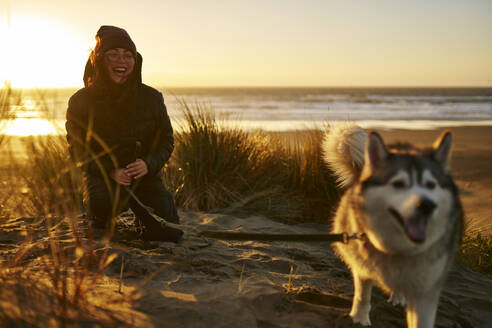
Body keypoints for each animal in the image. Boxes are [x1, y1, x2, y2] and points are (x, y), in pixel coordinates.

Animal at [322, 124, 462, 326]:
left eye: (431, 185)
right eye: (398, 184)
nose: (426, 205)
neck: (398, 248)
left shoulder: (425, 291)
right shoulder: (363, 268)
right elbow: (362, 296)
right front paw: (359, 319)